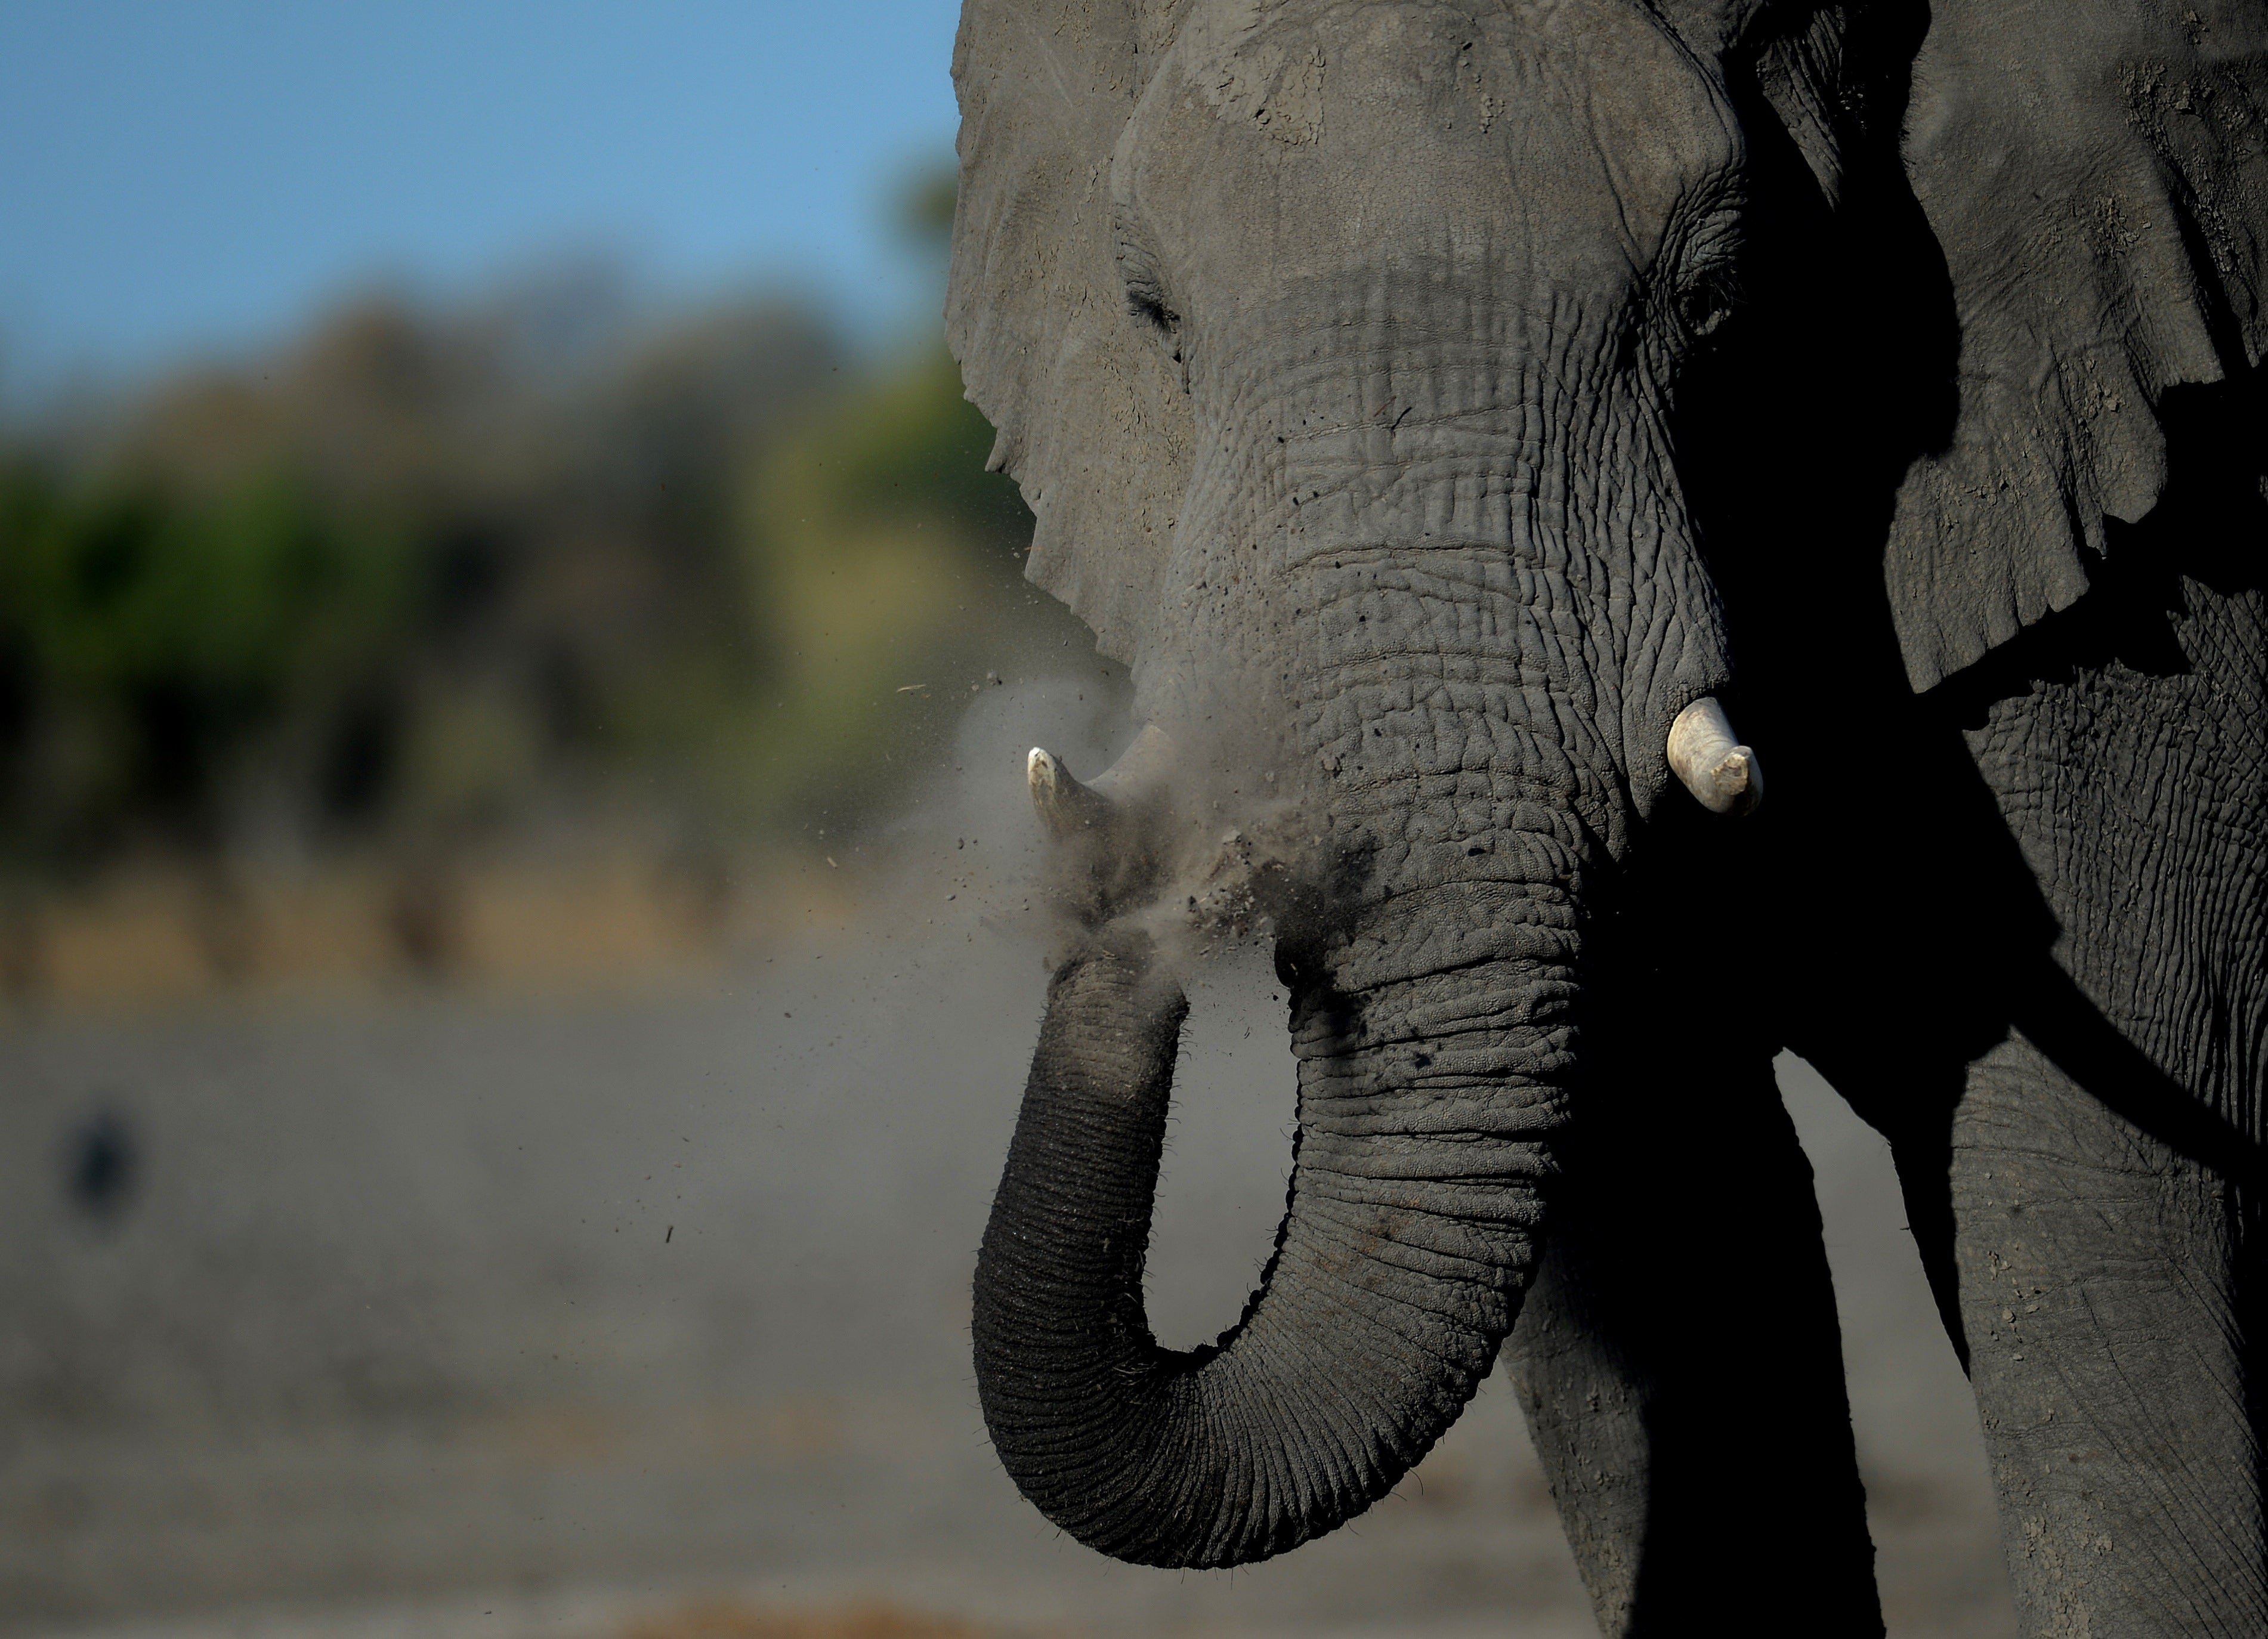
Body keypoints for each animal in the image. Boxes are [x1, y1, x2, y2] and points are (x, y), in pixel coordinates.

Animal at [948, 6, 2268, 1632]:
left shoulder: (2140, 579)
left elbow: (2089, 1216)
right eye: (1152, 315)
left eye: (1714, 302)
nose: (1128, 901)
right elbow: (1660, 1227)